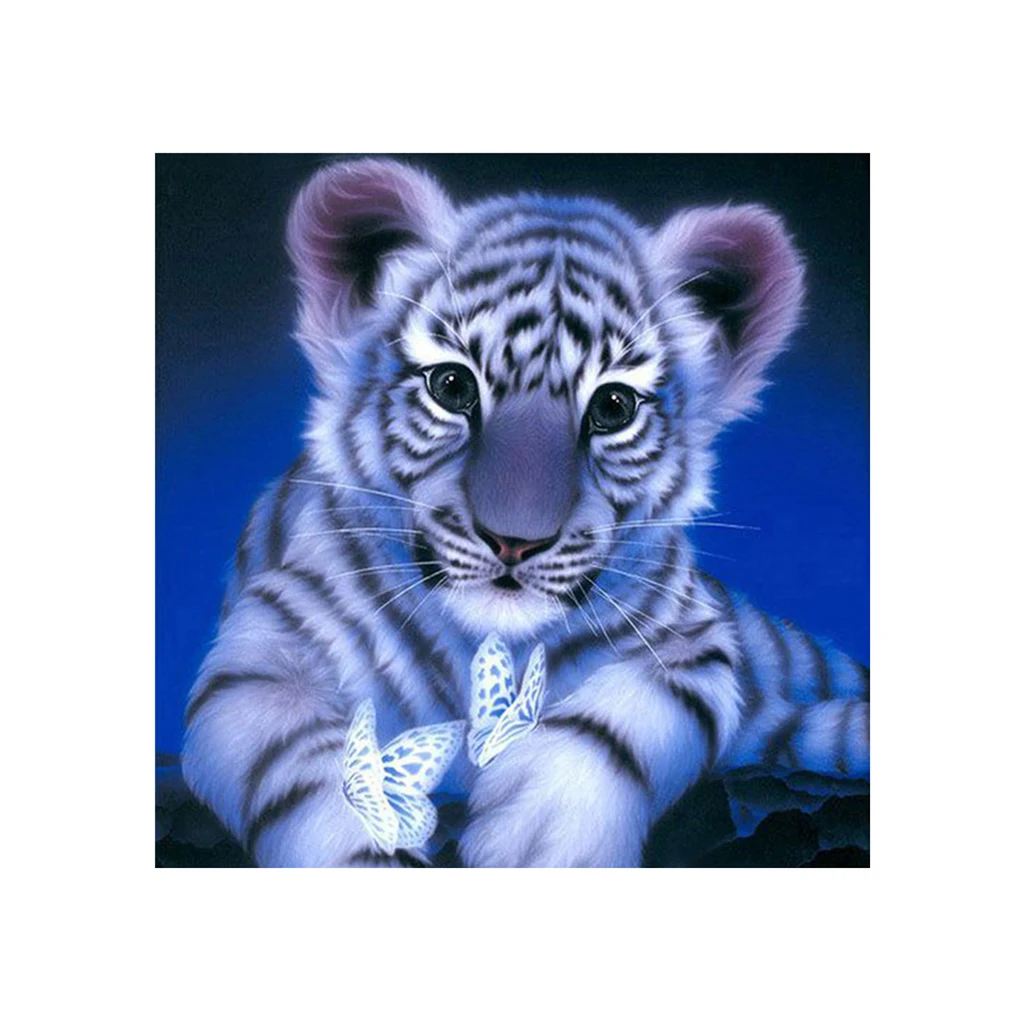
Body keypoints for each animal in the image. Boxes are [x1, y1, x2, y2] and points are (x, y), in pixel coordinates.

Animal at [181, 157, 870, 868]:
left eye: (613, 407)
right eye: (451, 386)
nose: (514, 541)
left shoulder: (694, 641)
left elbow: (621, 720)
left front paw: (542, 834)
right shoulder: (262, 653)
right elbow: (311, 769)